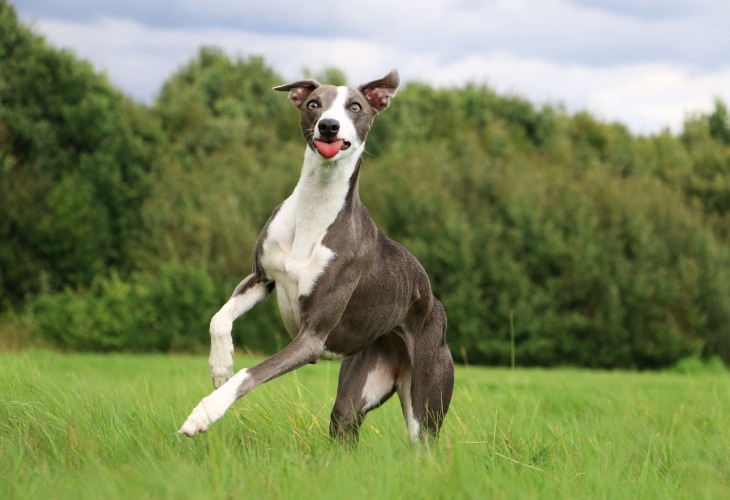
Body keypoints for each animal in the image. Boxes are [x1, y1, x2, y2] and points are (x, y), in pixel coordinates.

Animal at [179, 67, 452, 442]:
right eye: (313, 103)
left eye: (355, 106)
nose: (329, 126)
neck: (314, 210)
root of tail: (434, 305)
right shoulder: (262, 278)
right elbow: (219, 318)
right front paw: (220, 367)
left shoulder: (310, 338)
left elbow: (250, 373)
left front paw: (205, 412)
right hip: (354, 395)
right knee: (345, 422)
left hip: (425, 406)